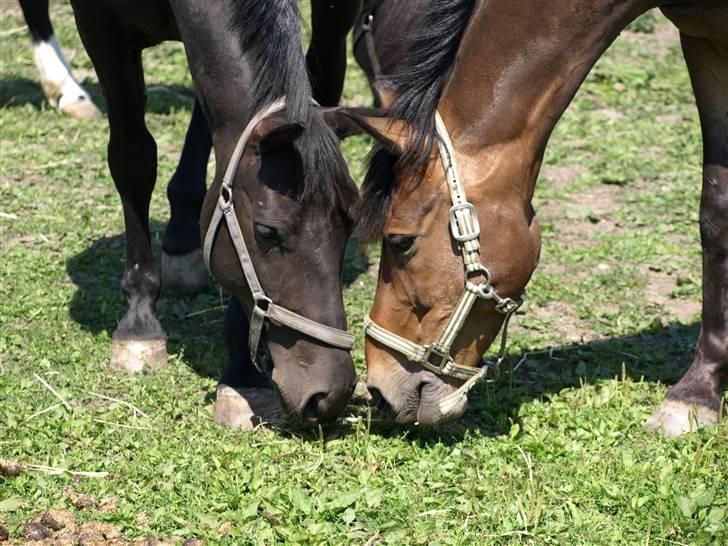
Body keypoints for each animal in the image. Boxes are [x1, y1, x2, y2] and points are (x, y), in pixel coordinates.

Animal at [69, 0, 362, 424]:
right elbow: (133, 159)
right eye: (268, 231)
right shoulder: (100, 28)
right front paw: (139, 322)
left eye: (352, 223)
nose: (331, 393)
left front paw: (241, 374)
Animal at [342, 1, 728, 434]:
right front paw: (699, 391)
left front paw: (695, 393)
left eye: (399, 240)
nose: (379, 390)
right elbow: (716, 213)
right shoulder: (703, 40)